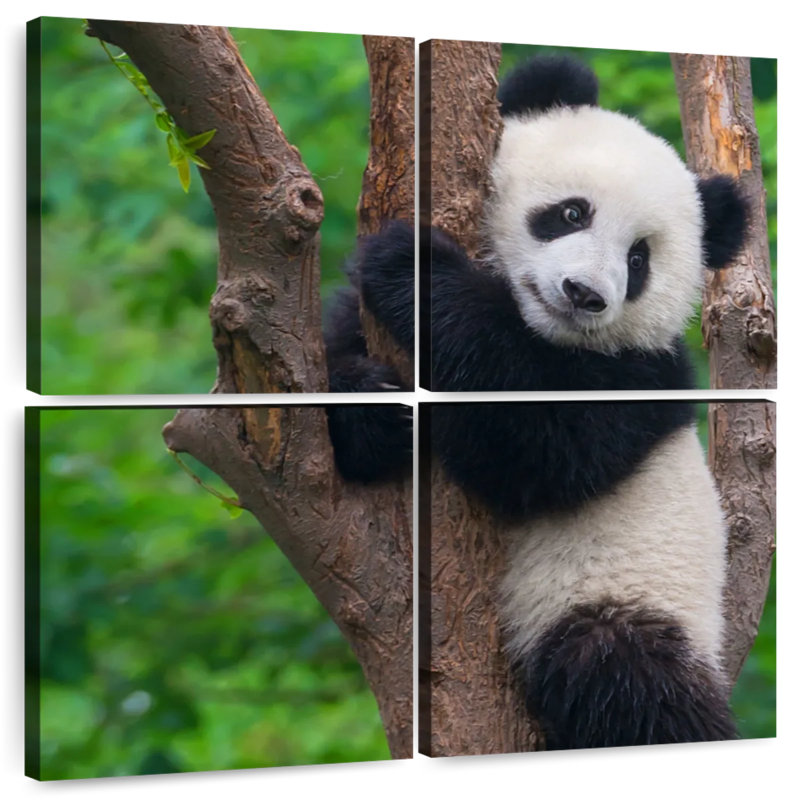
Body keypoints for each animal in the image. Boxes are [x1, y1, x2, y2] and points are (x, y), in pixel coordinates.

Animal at [326, 54, 749, 747]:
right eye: (572, 213)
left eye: (639, 259)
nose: (584, 294)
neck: (542, 333)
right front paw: (372, 408)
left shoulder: (638, 378)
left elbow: (541, 450)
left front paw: (414, 268)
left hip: (624, 598)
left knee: (624, 678)